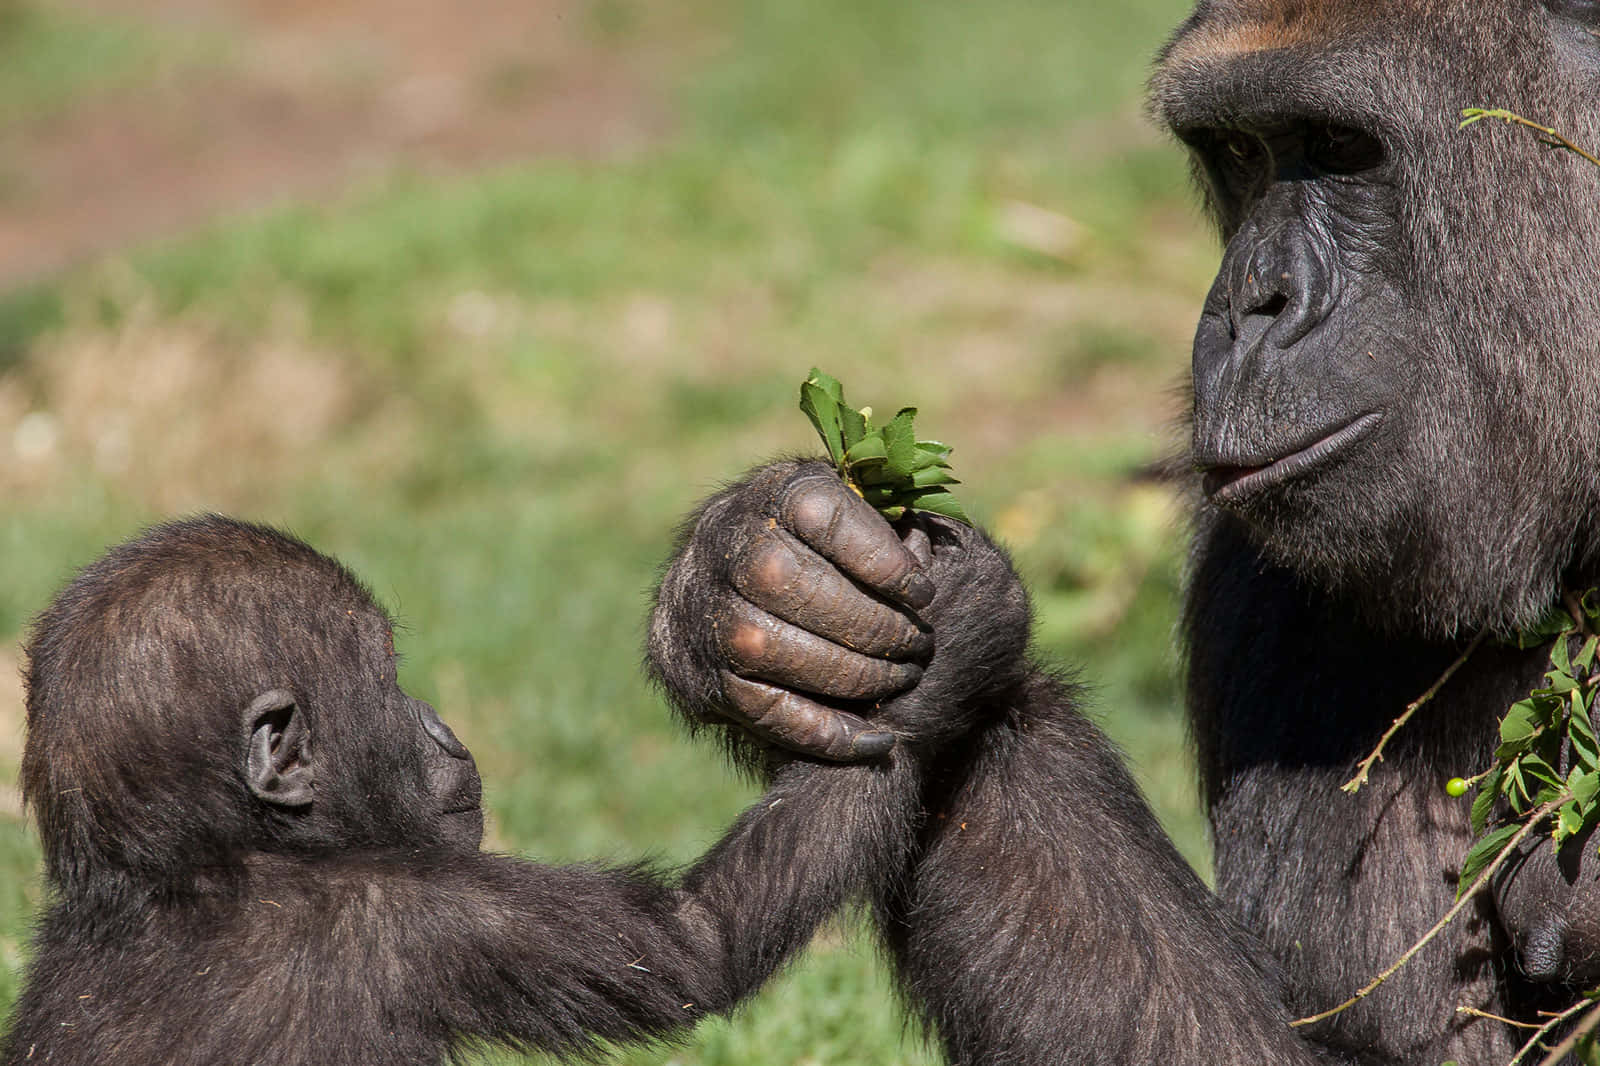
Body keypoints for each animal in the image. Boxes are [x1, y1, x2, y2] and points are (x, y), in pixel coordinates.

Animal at [0, 515, 928, 1062]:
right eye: (390, 677)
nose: (440, 723)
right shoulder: (418, 914)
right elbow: (698, 941)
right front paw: (934, 651)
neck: (190, 862)